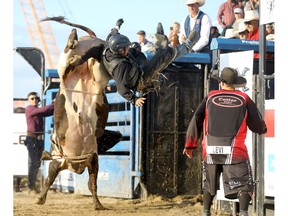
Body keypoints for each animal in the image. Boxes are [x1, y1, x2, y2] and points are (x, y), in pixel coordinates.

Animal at [35, 16, 121, 209]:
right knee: (81, 57)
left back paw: (75, 40)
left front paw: (98, 204)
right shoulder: (72, 160)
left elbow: (91, 183)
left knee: (73, 57)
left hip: (87, 70)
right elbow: (52, 179)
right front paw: (40, 198)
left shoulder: (84, 159)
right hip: (96, 72)